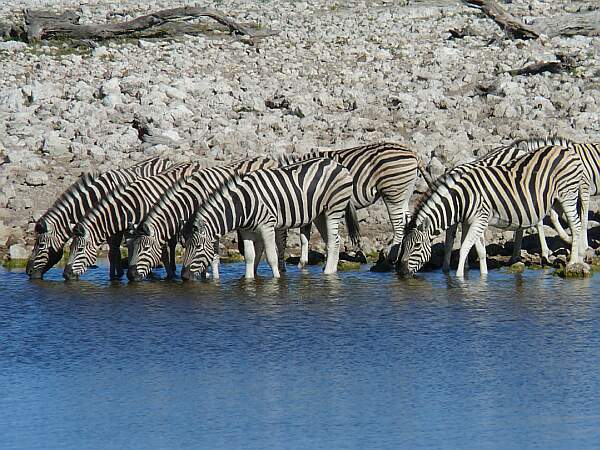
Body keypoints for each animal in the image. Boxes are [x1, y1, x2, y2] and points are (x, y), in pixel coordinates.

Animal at [23, 156, 169, 280]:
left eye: (41, 245)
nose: (28, 272)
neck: (97, 196)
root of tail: (163, 158)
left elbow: (114, 251)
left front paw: (116, 277)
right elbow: (113, 252)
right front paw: (117, 275)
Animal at [126, 157, 278, 282]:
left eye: (145, 249)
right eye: (132, 246)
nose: (130, 276)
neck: (191, 200)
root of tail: (268, 158)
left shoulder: (213, 225)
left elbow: (212, 257)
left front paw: (214, 279)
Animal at [180, 156, 358, 280]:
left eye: (197, 247)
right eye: (185, 246)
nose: (184, 276)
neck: (243, 204)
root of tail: (336, 163)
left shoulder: (267, 226)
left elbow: (272, 257)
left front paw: (277, 279)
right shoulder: (246, 231)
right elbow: (250, 257)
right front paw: (249, 279)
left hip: (334, 208)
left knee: (333, 241)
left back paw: (328, 273)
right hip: (320, 214)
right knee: (334, 241)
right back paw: (331, 270)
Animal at [278, 142, 414, 266]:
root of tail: (412, 153)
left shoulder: (310, 205)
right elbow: (304, 237)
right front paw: (303, 263)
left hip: (392, 192)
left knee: (398, 225)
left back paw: (390, 258)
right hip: (404, 194)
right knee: (408, 221)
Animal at [398, 145, 584, 278]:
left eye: (416, 245)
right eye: (403, 245)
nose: (402, 272)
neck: (461, 198)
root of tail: (566, 150)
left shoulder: (478, 220)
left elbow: (464, 247)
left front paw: (458, 277)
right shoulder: (474, 221)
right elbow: (478, 250)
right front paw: (482, 275)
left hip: (567, 195)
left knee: (575, 226)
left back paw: (572, 261)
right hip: (552, 200)